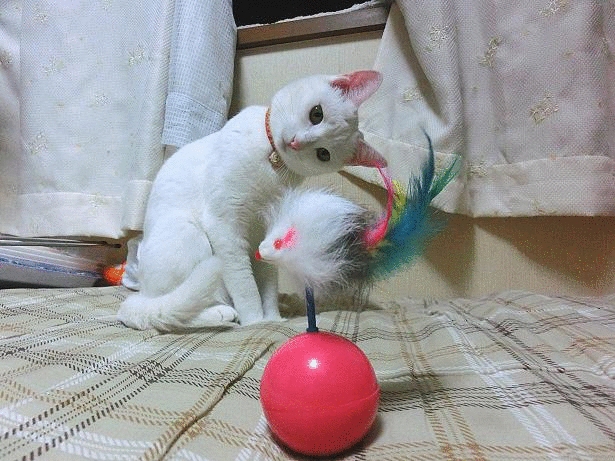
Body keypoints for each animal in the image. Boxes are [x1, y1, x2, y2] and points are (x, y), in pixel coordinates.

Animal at [117, 70, 387, 331]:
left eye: (323, 154)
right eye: (316, 113)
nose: (297, 143)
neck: (272, 163)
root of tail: (142, 291)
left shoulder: (264, 232)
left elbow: (267, 282)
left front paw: (272, 318)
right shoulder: (225, 226)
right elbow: (244, 284)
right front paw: (255, 320)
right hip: (188, 234)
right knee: (174, 311)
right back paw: (221, 313)